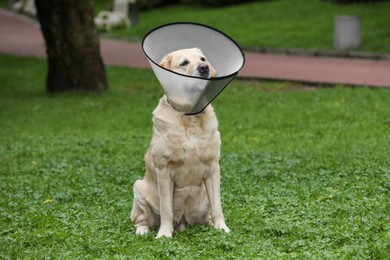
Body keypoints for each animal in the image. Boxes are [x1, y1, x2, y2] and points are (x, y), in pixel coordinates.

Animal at [131, 47, 230, 239]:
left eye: (202, 59)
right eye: (184, 63)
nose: (204, 68)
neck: (190, 117)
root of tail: (182, 222)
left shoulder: (213, 167)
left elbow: (218, 206)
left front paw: (222, 228)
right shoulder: (164, 170)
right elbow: (167, 209)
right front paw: (164, 234)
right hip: (139, 189)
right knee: (140, 220)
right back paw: (143, 230)